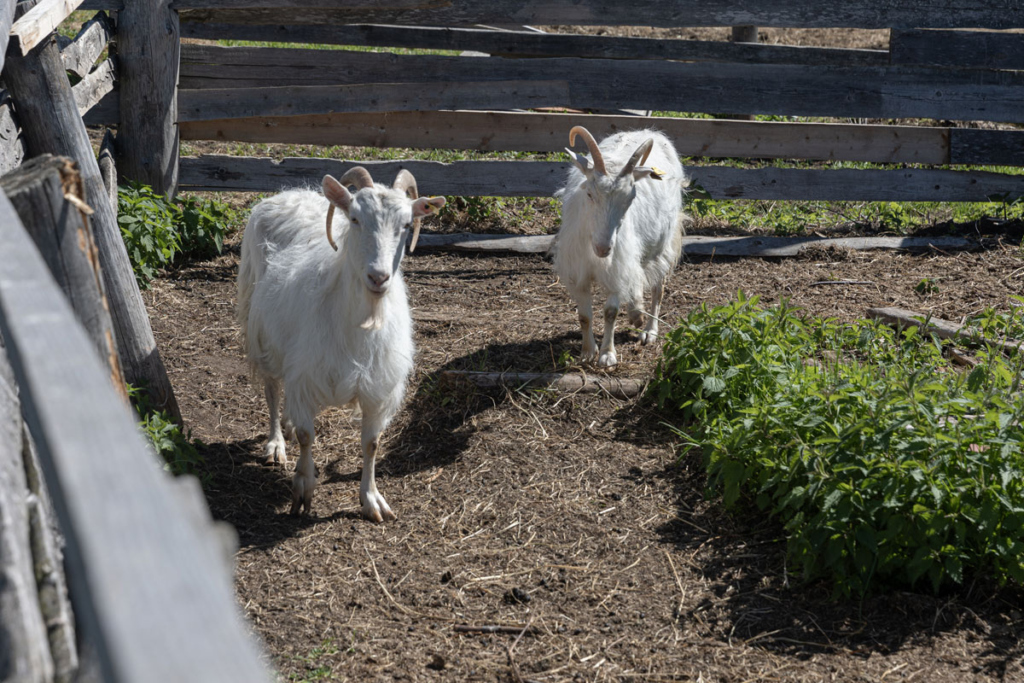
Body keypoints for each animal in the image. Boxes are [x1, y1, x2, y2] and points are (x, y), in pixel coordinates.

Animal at [236, 167, 445, 522]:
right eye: (356, 218)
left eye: (406, 225)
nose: (378, 277)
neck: (362, 319)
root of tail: (291, 194)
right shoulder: (306, 375)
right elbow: (307, 436)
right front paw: (304, 488)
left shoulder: (377, 387)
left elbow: (372, 443)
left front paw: (371, 499)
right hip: (262, 333)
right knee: (272, 390)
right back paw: (276, 442)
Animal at [553, 126, 687, 367]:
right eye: (589, 194)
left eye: (630, 199)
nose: (603, 248)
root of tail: (650, 131)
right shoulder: (578, 272)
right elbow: (584, 316)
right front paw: (588, 352)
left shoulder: (616, 268)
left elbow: (610, 312)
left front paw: (607, 354)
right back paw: (636, 312)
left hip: (660, 246)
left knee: (657, 287)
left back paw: (648, 329)